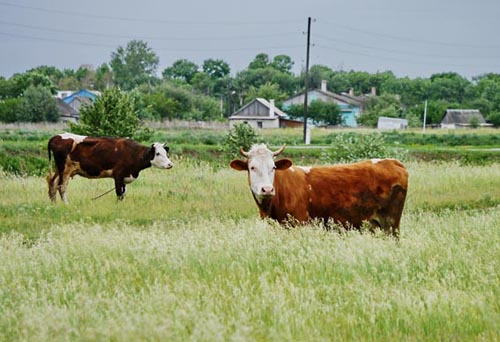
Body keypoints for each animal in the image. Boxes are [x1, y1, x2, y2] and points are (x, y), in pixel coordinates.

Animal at [46, 133, 174, 203]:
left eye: (166, 153)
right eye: (157, 154)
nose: (170, 164)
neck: (133, 153)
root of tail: (56, 137)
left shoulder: (124, 178)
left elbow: (123, 193)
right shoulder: (118, 175)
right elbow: (119, 193)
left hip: (60, 170)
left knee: (53, 183)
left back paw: (54, 203)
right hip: (65, 170)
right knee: (61, 187)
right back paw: (67, 204)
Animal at [230, 144, 410, 238]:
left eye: (273, 167)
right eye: (252, 167)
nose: (267, 189)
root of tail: (392, 161)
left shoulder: (299, 224)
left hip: (391, 223)